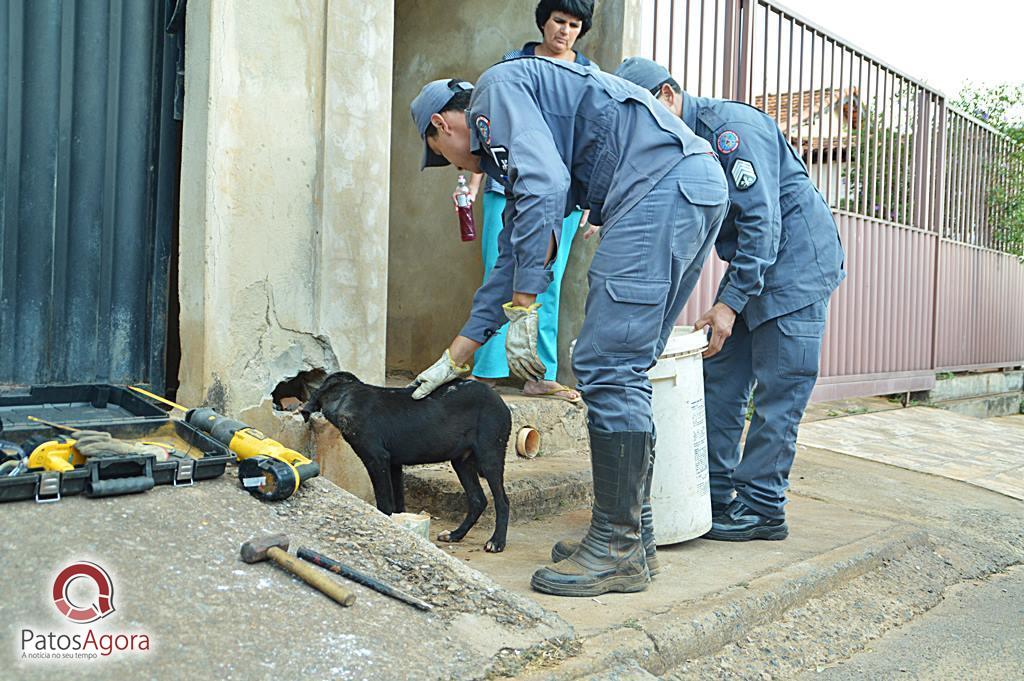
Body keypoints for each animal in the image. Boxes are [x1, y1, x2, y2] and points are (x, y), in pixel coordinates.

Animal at [301, 372, 512, 552]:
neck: (346, 393)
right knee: (478, 499)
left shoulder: (377, 459)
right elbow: (398, 505)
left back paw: (496, 542)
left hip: (490, 454)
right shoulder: (394, 464)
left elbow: (384, 503)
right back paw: (455, 535)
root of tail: (501, 402)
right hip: (462, 461)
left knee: (502, 501)